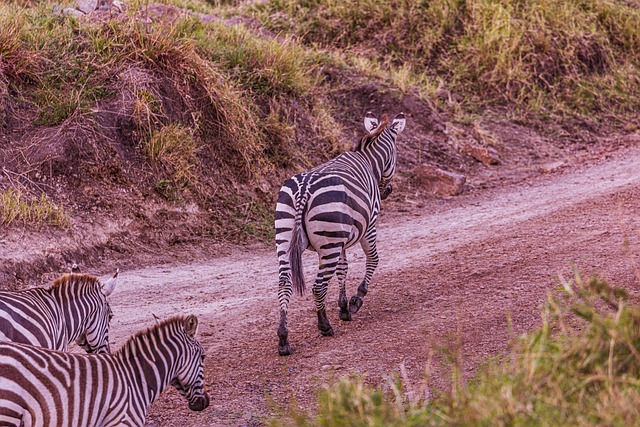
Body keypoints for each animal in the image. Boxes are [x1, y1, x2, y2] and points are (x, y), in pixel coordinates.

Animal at [274, 112, 404, 356]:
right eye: (395, 157)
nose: (388, 191)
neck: (367, 160)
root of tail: (304, 189)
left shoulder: (342, 238)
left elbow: (343, 269)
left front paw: (343, 307)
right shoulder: (368, 226)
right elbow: (373, 259)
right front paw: (355, 300)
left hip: (287, 237)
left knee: (284, 283)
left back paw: (283, 339)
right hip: (328, 243)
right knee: (318, 286)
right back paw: (324, 326)